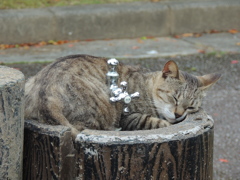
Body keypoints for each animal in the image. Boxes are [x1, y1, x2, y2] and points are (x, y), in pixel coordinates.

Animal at [24, 54, 221, 139]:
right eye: (174, 98)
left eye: (191, 107)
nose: (179, 114)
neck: (146, 84)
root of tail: (46, 98)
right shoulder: (129, 116)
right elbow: (154, 121)